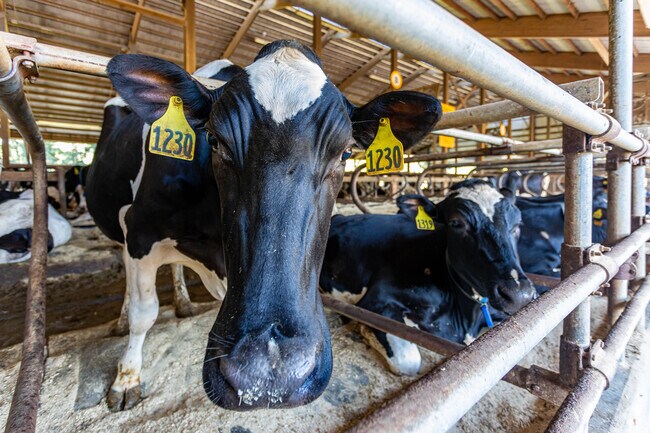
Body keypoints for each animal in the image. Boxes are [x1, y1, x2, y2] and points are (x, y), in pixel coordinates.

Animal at [85, 40, 442, 411]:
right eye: (214, 141)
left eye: (345, 153)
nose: (269, 372)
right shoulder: (139, 231)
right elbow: (144, 312)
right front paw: (127, 378)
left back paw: (182, 303)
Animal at [319, 180, 536, 376]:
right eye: (456, 223)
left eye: (517, 224)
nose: (518, 294)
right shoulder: (375, 301)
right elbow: (409, 361)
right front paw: (363, 329)